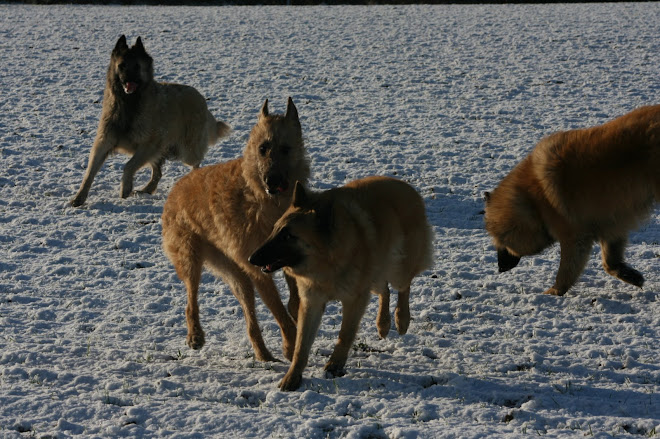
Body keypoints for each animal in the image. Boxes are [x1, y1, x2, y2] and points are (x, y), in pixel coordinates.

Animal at [71, 35, 231, 207]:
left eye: (137, 66)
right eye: (122, 65)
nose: (128, 79)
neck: (129, 104)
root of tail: (202, 100)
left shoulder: (148, 145)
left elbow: (129, 166)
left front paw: (125, 188)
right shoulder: (104, 143)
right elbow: (90, 172)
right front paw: (79, 197)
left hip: (187, 152)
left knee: (196, 163)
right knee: (158, 173)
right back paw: (146, 189)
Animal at [164, 98, 310, 362]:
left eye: (286, 149)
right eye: (263, 148)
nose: (272, 180)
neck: (261, 198)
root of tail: (175, 190)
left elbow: (292, 299)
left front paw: (295, 317)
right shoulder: (258, 269)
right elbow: (279, 311)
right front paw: (290, 344)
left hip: (235, 274)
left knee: (249, 317)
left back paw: (263, 353)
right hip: (191, 256)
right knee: (191, 298)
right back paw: (195, 335)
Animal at [249, 177, 434, 390]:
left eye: (288, 236)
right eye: (274, 230)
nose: (251, 259)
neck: (328, 261)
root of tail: (407, 187)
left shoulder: (354, 300)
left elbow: (345, 334)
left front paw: (334, 365)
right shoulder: (311, 303)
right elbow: (301, 346)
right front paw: (293, 376)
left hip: (398, 269)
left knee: (403, 287)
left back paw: (401, 319)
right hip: (375, 273)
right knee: (385, 290)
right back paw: (383, 323)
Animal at [484, 105, 660, 296]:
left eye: (501, 241)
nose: (499, 267)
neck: (533, 202)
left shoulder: (574, 236)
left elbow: (566, 271)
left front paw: (554, 292)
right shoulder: (611, 223)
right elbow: (609, 263)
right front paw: (630, 275)